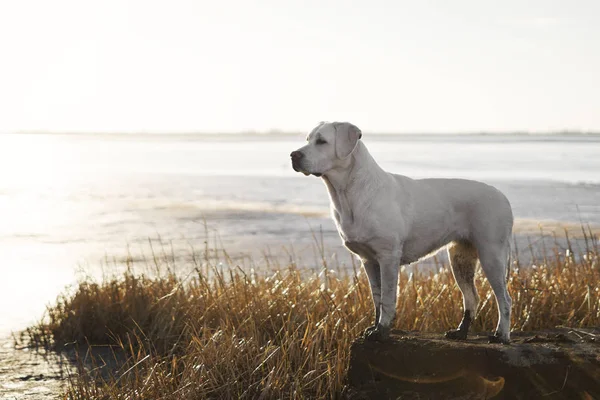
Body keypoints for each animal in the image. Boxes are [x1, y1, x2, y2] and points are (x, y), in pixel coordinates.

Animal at [292, 122, 516, 344]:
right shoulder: (368, 260)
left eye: (322, 141)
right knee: (471, 297)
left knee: (505, 299)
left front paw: (381, 330)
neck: (350, 194)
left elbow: (388, 298)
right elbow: (377, 298)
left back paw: (501, 335)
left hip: (491, 254)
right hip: (460, 257)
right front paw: (373, 327)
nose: (294, 155)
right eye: (307, 140)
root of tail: (504, 197)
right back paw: (460, 332)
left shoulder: (388, 256)